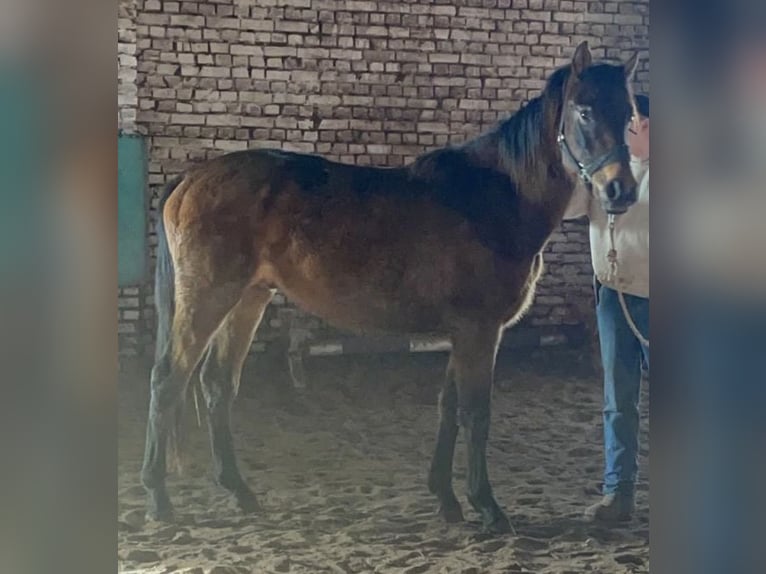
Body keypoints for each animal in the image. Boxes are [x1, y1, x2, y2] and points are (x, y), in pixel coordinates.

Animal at [141, 41, 640, 534]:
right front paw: (487, 507)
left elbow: (447, 407)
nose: (622, 191)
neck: (494, 199)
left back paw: (240, 493)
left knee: (217, 384)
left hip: (248, 299)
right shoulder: (479, 331)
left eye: (630, 115)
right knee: (168, 380)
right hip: (208, 298)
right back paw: (159, 499)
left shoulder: (463, 333)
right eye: (584, 111)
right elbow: (474, 412)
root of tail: (191, 179)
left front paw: (446, 499)